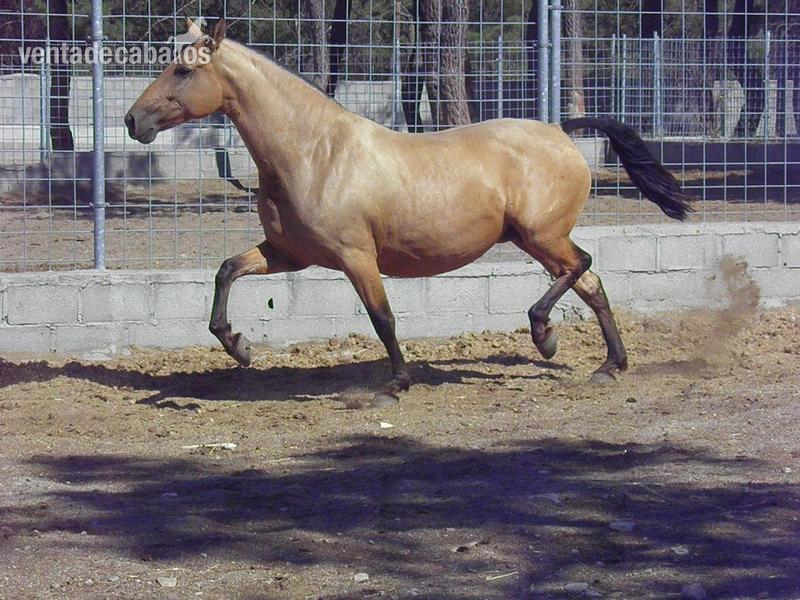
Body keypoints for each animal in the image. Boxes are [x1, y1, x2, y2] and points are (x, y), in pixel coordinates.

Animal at [125, 20, 693, 406]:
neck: (315, 152)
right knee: (591, 284)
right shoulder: (288, 254)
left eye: (183, 69)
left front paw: (394, 384)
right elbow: (226, 271)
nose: (133, 121)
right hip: (533, 239)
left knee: (582, 267)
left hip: (542, 236)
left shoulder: (356, 256)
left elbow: (382, 318)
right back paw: (609, 366)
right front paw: (240, 347)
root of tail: (559, 130)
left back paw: (545, 337)